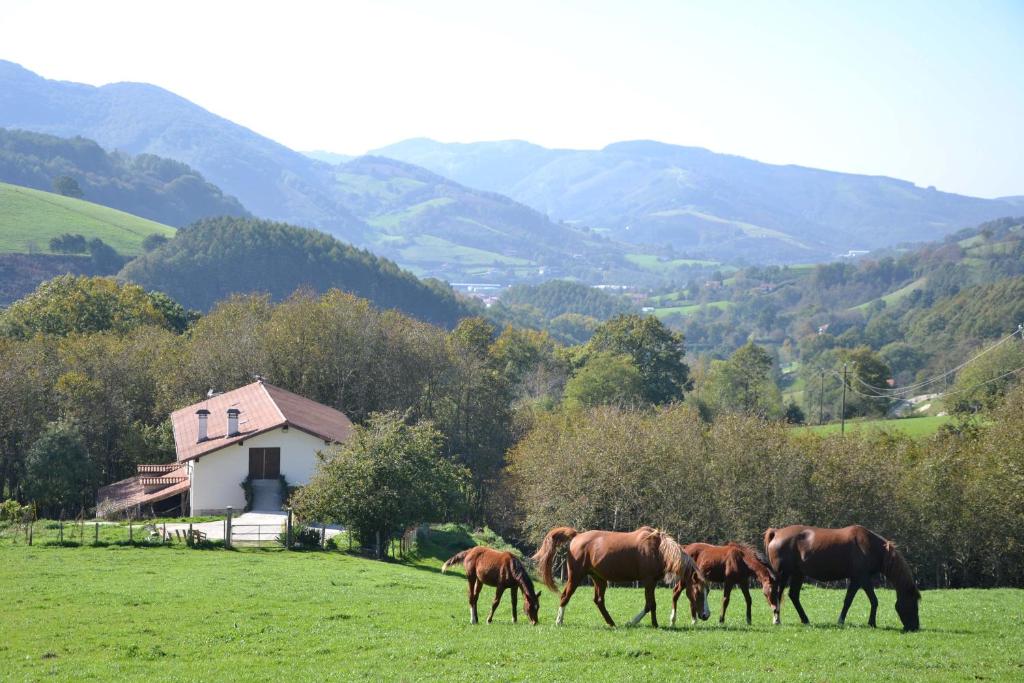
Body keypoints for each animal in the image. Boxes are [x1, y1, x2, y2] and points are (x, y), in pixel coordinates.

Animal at [528, 528, 704, 626]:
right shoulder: (648, 581)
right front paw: (651, 624)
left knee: (599, 601)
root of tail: (577, 536)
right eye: (698, 592)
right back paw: (559, 621)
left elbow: (649, 605)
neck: (658, 549)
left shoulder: (652, 582)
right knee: (565, 596)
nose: (705, 615)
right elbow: (651, 605)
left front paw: (637, 622)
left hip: (599, 579)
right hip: (576, 576)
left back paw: (611, 623)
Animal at [765, 528, 925, 634]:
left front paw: (841, 621)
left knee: (793, 595)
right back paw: (777, 619)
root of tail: (776, 533)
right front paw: (871, 623)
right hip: (783, 574)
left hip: (798, 574)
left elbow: (848, 600)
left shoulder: (856, 580)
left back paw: (805, 620)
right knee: (778, 594)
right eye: (912, 604)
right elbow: (873, 600)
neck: (870, 546)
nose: (914, 627)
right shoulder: (862, 578)